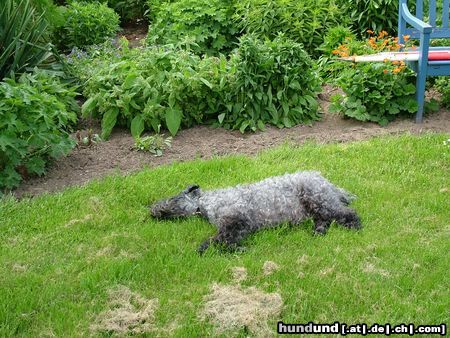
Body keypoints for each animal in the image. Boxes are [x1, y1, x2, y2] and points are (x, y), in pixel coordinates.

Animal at [151, 172, 362, 254]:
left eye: (173, 199)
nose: (152, 210)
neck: (206, 203)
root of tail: (330, 184)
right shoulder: (239, 226)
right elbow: (226, 241)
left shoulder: (236, 220)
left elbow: (220, 241)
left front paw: (206, 248)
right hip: (315, 207)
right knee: (324, 220)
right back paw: (318, 231)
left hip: (318, 199)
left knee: (347, 213)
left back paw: (355, 226)